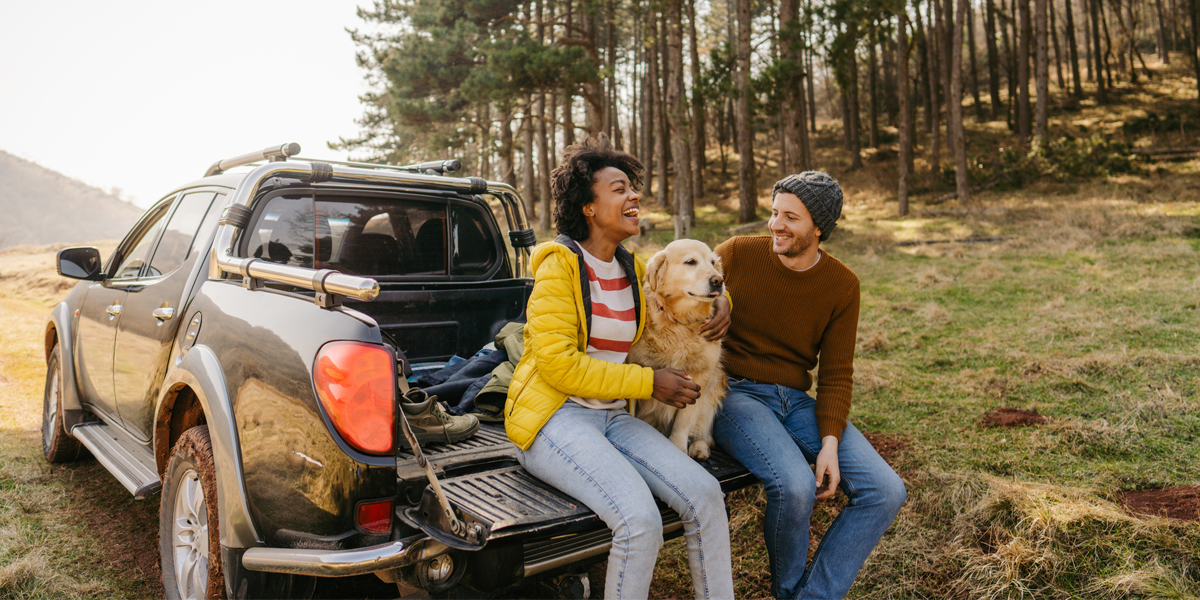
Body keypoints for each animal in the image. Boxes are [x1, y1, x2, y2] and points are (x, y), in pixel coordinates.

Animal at [633, 238, 724, 458]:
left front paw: (678, 447)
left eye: (712, 262)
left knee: (707, 435)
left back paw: (699, 447)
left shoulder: (700, 376)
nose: (719, 280)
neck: (681, 322)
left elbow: (684, 421)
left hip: (714, 388)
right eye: (690, 262)